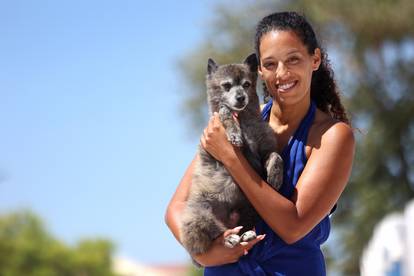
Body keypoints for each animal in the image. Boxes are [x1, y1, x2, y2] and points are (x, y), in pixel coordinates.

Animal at [180, 53, 284, 256]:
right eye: (226, 86)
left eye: (246, 84)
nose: (241, 97)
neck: (243, 120)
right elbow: (225, 111)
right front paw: (234, 132)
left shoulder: (265, 150)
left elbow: (276, 156)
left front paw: (276, 175)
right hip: (198, 216)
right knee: (217, 233)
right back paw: (230, 238)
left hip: (252, 208)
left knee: (242, 227)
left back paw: (247, 235)